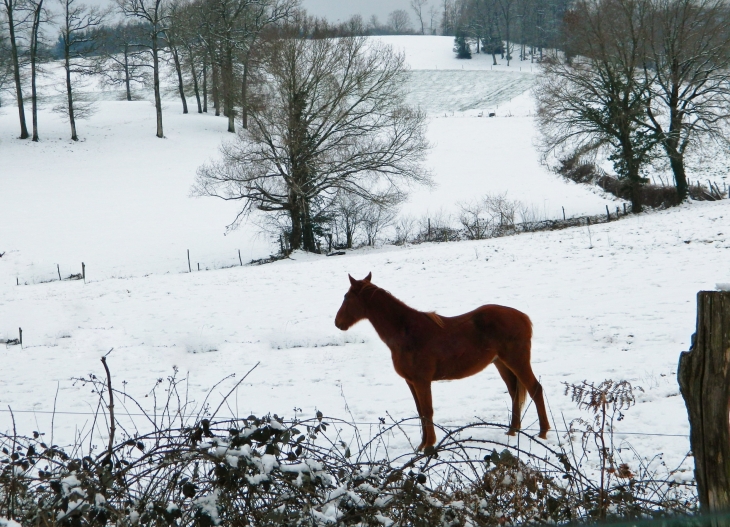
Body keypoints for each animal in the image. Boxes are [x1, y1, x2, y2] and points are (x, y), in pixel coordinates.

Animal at [334, 274, 544, 452]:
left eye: (346, 297)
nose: (338, 323)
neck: (405, 331)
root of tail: (523, 317)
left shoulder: (422, 381)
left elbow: (427, 411)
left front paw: (429, 446)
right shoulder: (411, 382)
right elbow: (420, 411)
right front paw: (421, 446)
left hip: (517, 361)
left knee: (535, 389)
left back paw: (543, 433)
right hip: (501, 363)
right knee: (515, 393)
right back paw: (512, 431)